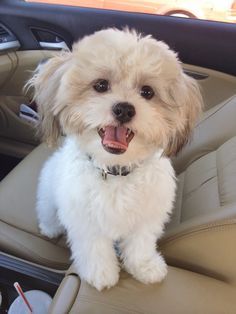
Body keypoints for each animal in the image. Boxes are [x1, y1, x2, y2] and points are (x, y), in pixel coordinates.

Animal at [30, 28, 202, 290]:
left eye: (147, 92)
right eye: (101, 85)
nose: (124, 109)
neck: (115, 171)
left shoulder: (147, 216)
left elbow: (141, 243)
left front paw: (145, 267)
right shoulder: (85, 219)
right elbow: (94, 247)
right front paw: (100, 273)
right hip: (50, 194)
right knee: (47, 211)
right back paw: (50, 229)